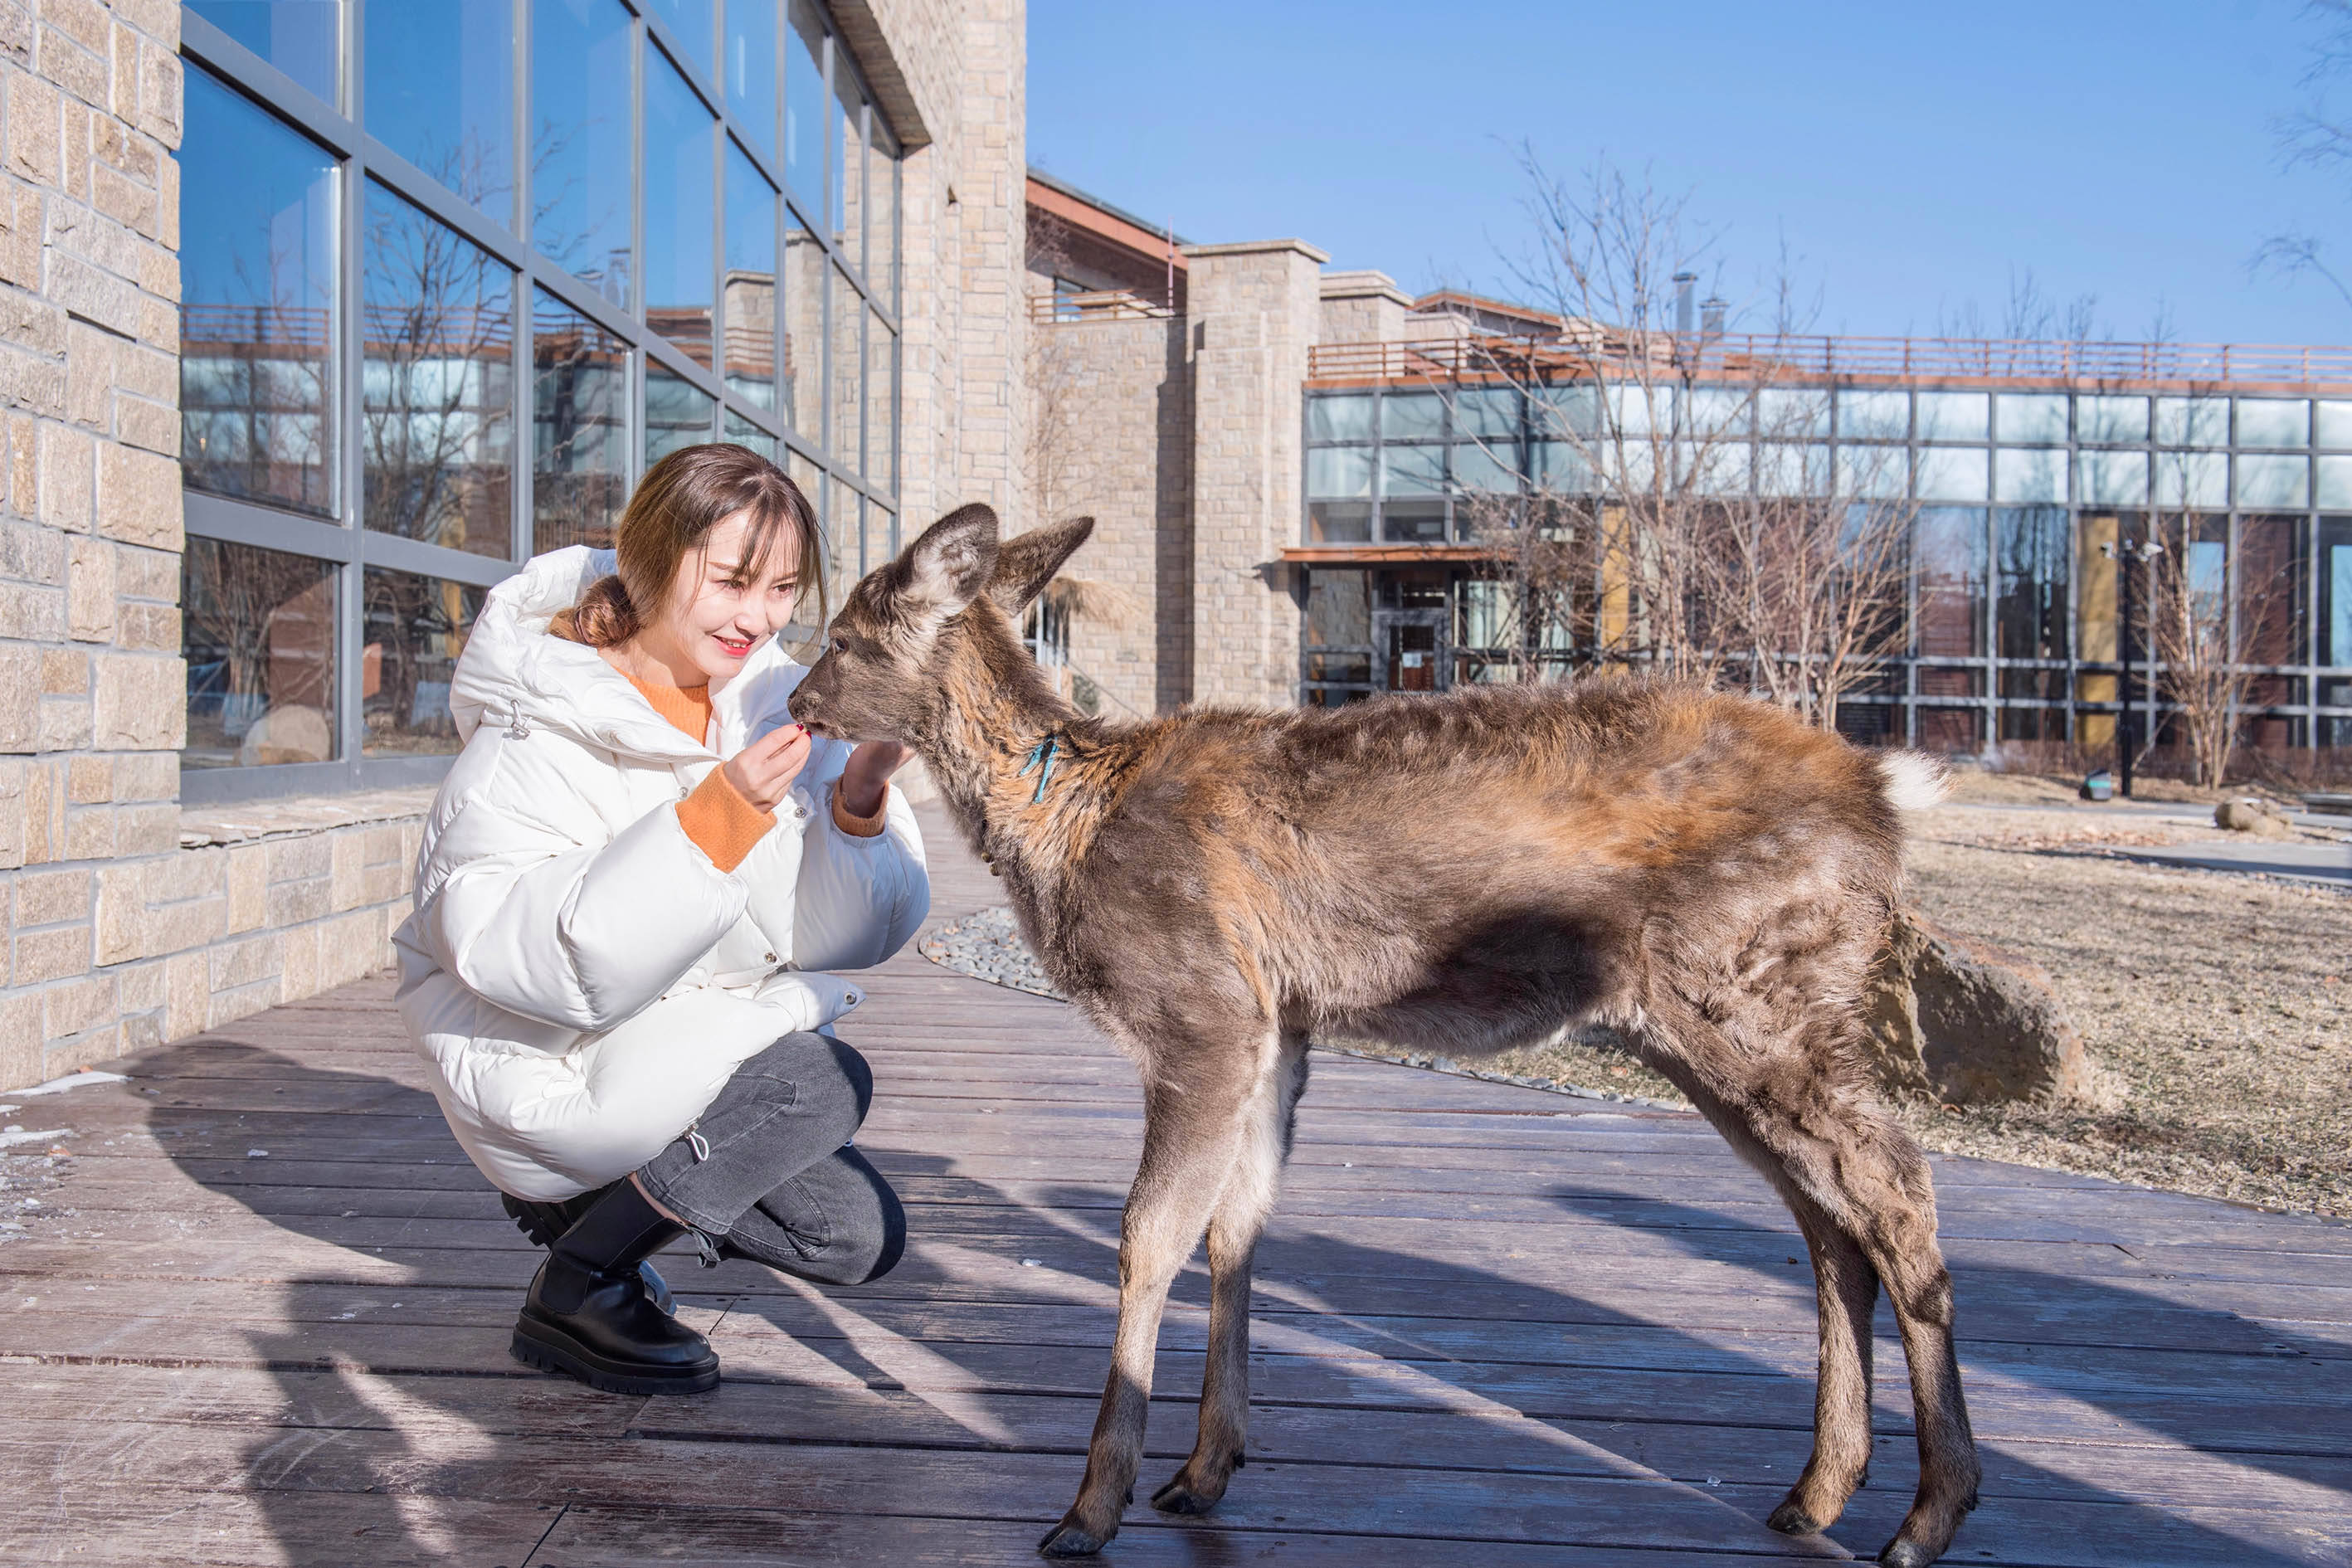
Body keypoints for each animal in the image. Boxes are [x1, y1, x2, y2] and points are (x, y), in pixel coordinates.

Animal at [795, 505, 1984, 1568]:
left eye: (843, 634)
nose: (800, 702)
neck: (1071, 829)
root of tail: (1886, 796)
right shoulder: (1279, 1028)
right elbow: (1237, 1228)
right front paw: (1204, 1469)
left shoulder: (1201, 1004)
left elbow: (1148, 1236)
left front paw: (1091, 1507)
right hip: (1735, 1015)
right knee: (1827, 1223)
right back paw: (1816, 1493)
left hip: (1754, 988)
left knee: (1891, 1189)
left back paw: (1927, 1516)